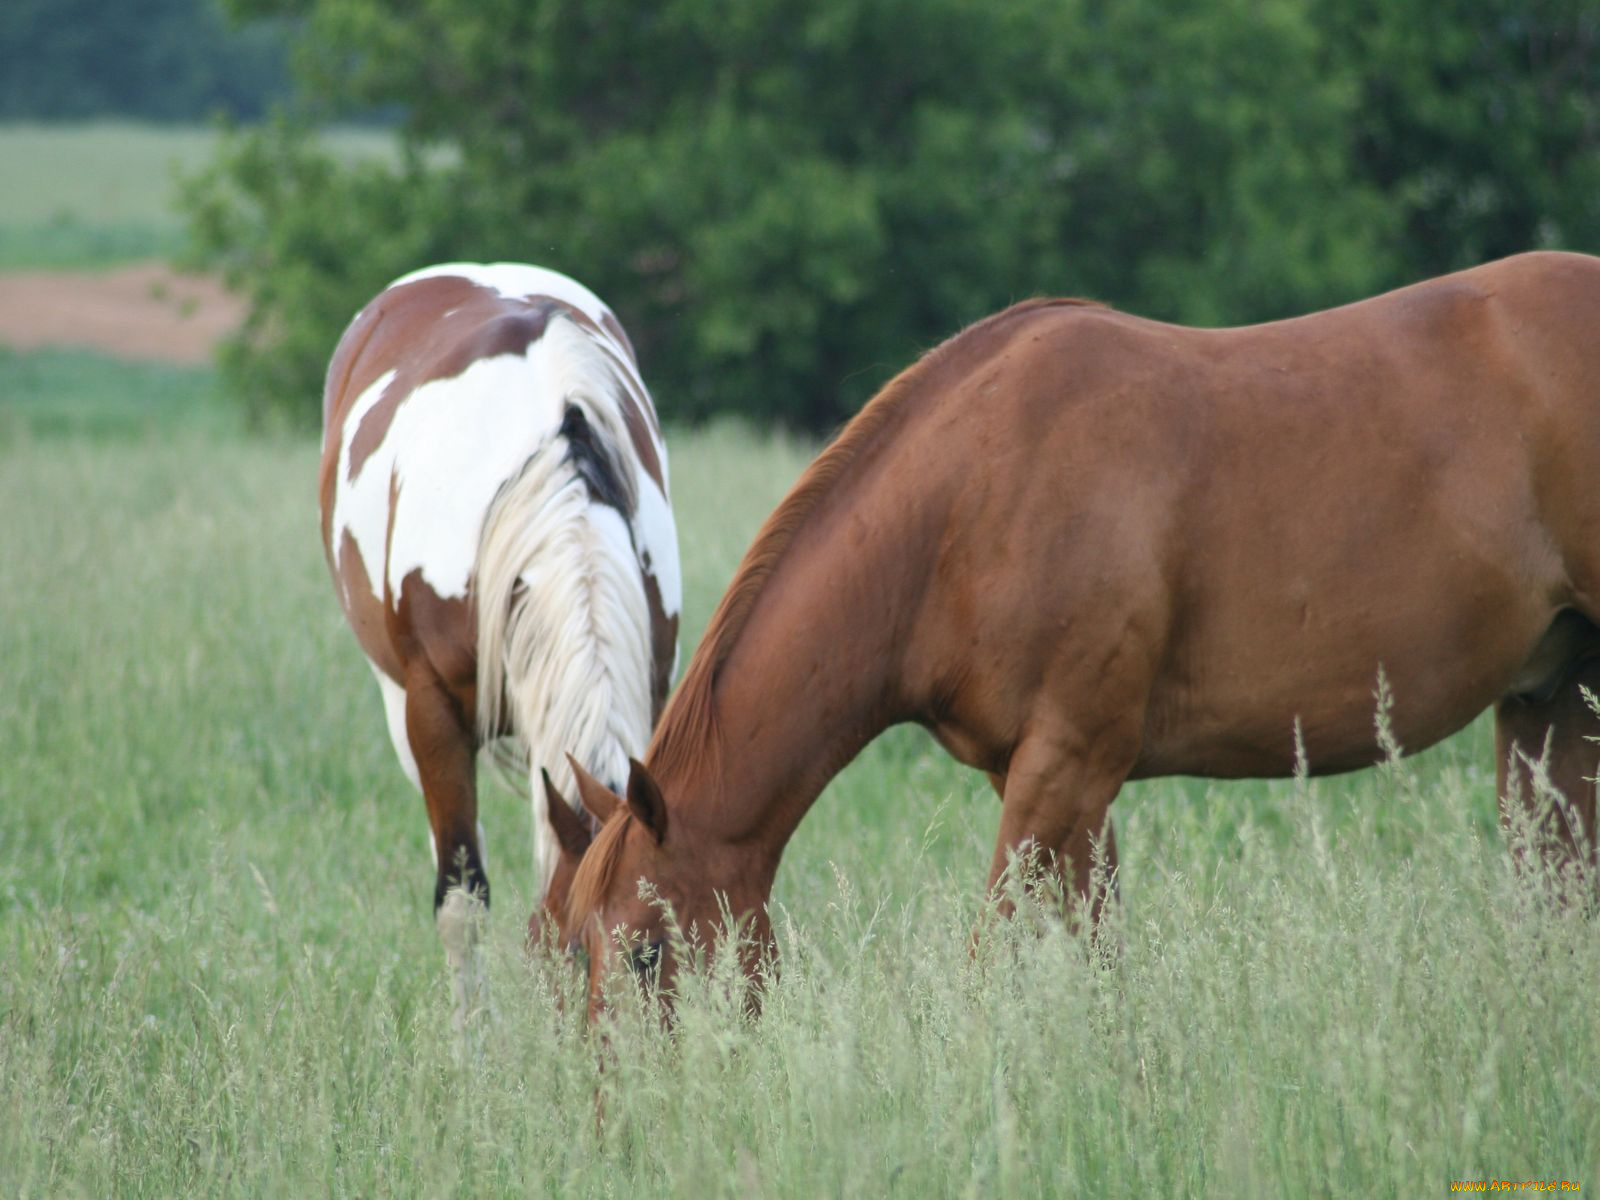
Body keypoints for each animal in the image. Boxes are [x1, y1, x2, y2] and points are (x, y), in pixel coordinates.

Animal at [550, 251, 1600, 1017]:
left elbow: (994, 959)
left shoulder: (1063, 769)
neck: (968, 504)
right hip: (1549, 707)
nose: (618, 1120)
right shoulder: (1066, 787)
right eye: (574, 947)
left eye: (646, 953)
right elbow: (1098, 964)